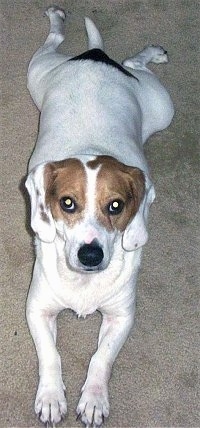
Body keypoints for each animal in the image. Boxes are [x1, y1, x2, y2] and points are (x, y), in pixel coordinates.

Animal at [25, 5, 174, 424]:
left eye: (116, 206)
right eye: (67, 203)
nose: (90, 255)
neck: (84, 284)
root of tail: (96, 56)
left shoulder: (121, 316)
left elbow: (101, 359)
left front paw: (93, 399)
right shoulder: (37, 309)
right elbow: (50, 356)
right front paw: (51, 397)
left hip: (162, 108)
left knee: (132, 62)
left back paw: (150, 53)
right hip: (37, 73)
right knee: (55, 41)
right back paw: (58, 17)